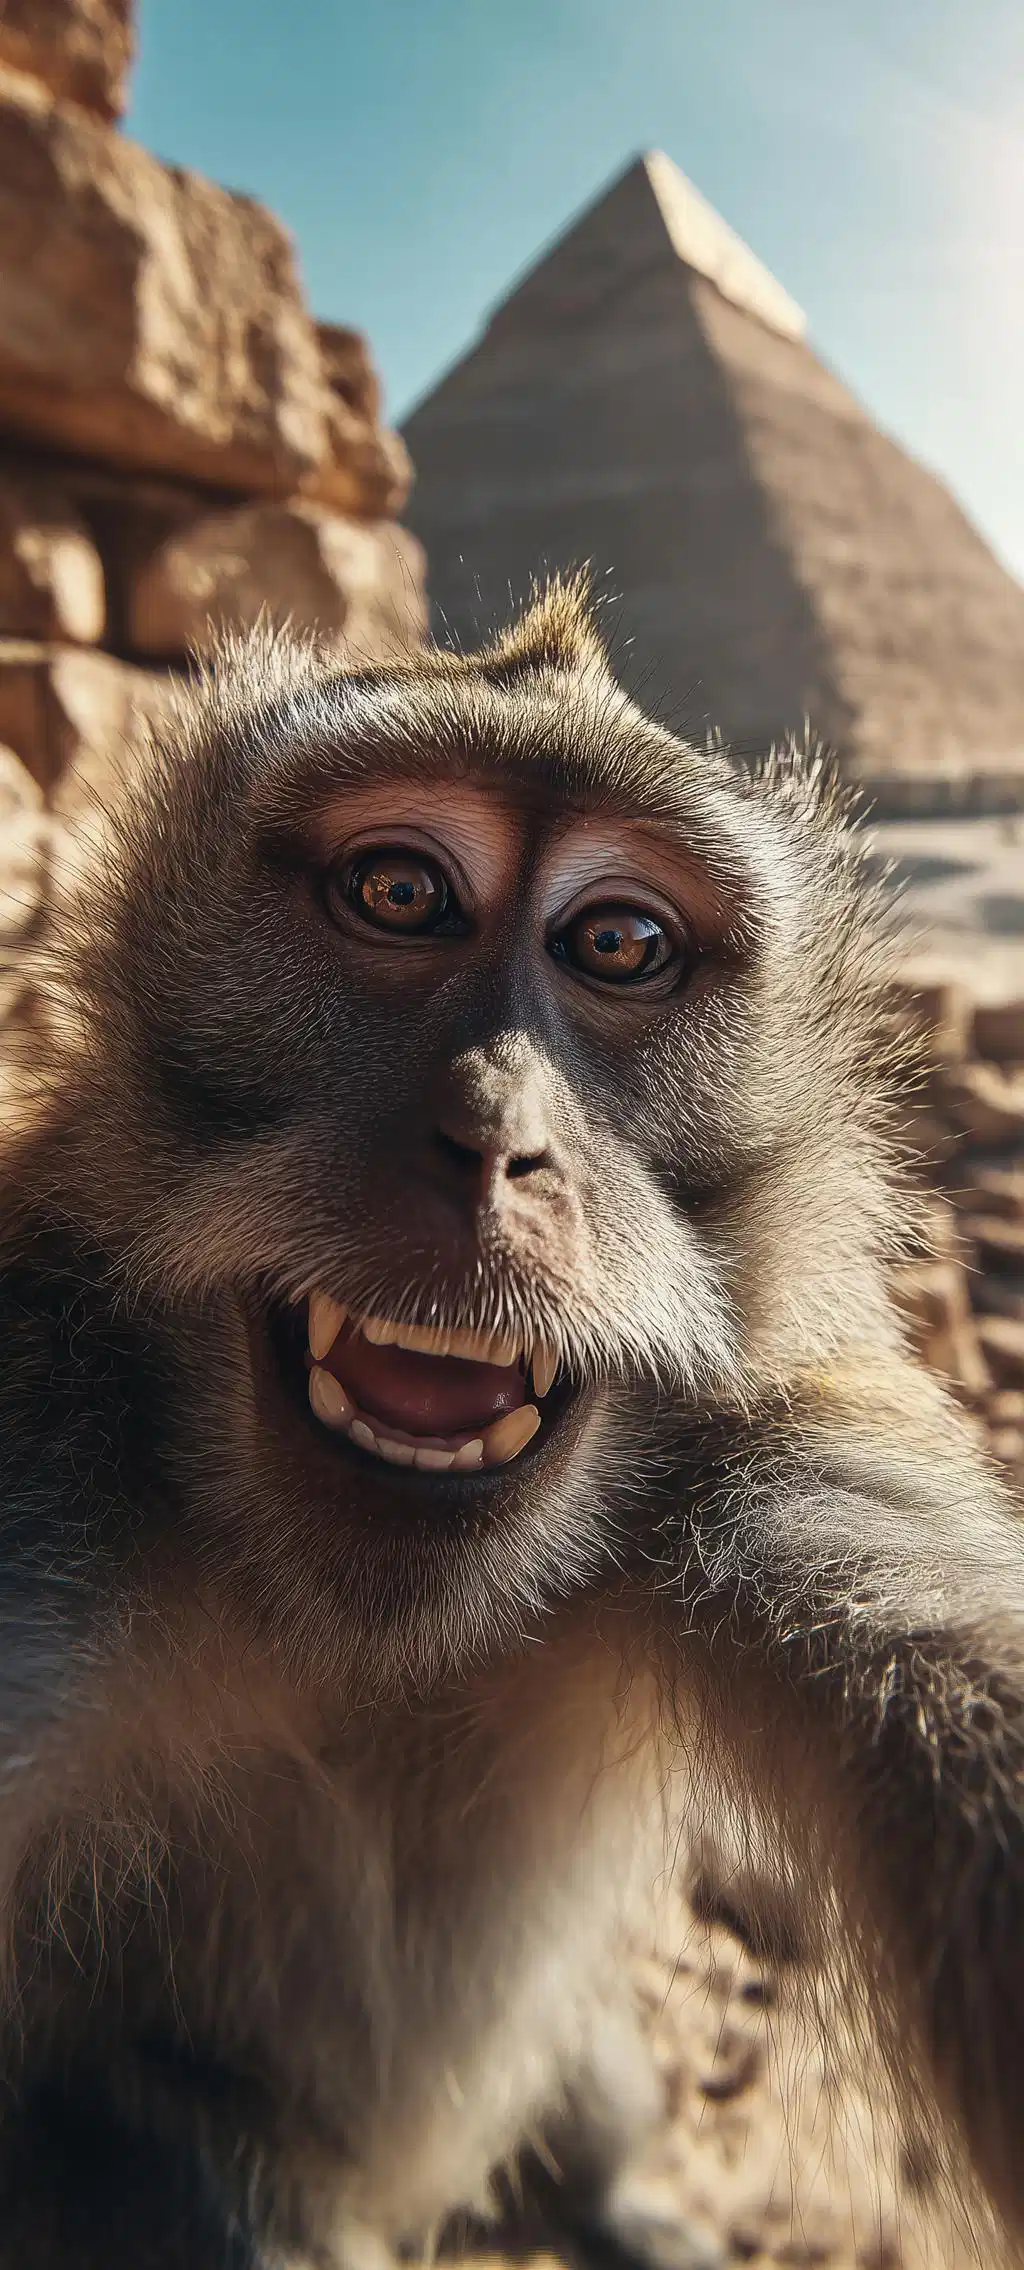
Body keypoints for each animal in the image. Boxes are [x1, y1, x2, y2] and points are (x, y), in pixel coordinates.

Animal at [0, 573, 1022, 2269]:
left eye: (617, 940)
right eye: (401, 893)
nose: (495, 1135)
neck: (374, 1622)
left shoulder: (775, 1452)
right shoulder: (43, 1442)